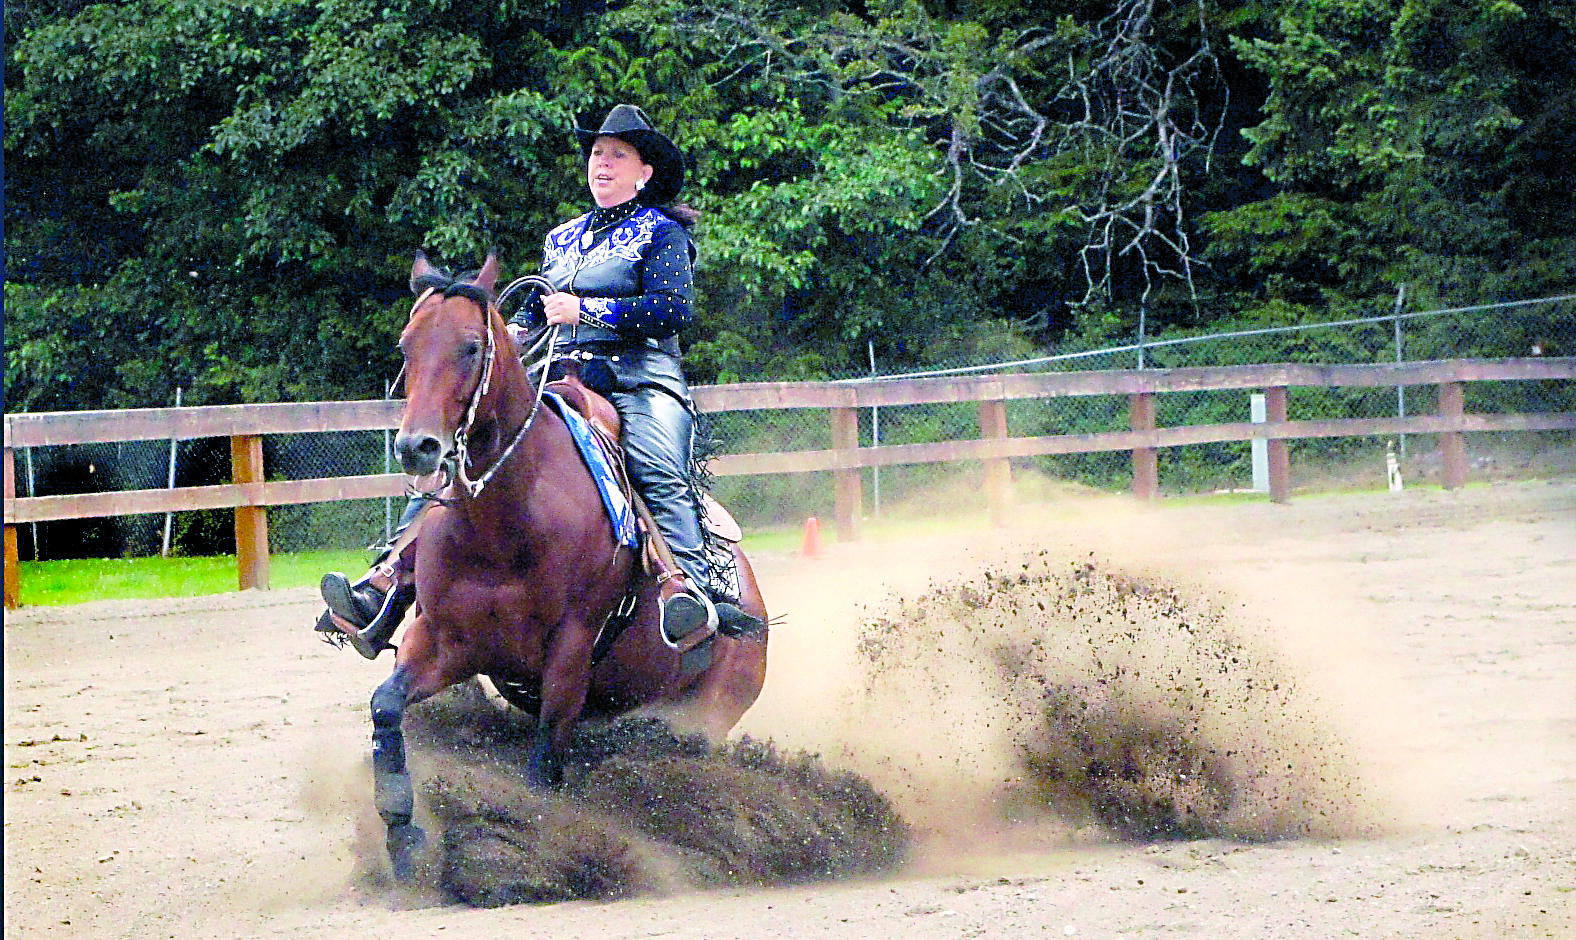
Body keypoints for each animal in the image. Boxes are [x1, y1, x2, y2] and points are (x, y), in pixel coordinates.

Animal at [369, 253, 769, 879]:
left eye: (470, 347)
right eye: (407, 345)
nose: (418, 447)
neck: (504, 523)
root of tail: (751, 603)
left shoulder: (569, 651)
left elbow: (542, 769)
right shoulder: (444, 639)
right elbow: (386, 707)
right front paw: (403, 839)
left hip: (705, 716)